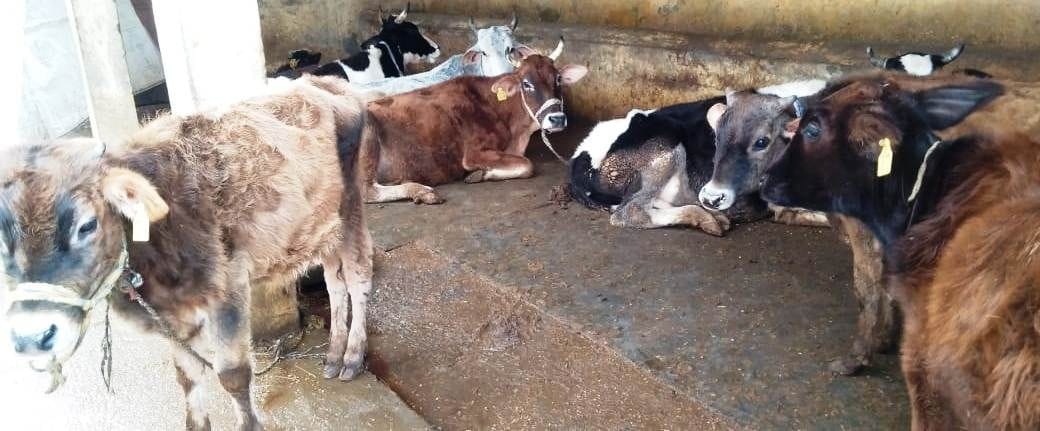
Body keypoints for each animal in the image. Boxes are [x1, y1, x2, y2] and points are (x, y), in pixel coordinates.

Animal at [1, 75, 372, 430]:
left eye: (87, 225)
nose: (32, 336)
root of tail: (319, 83)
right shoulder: (173, 318)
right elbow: (188, 379)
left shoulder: (228, 294)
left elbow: (233, 376)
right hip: (322, 229)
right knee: (334, 282)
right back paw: (334, 353)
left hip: (351, 210)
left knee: (358, 279)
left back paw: (352, 356)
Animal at [360, 39, 588, 204]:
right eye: (526, 84)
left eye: (558, 79)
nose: (557, 118)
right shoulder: (473, 153)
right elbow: (527, 165)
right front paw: (479, 174)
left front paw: (480, 174)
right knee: (367, 191)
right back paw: (422, 191)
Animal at [698, 85, 897, 375]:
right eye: (717, 138)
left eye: (762, 141)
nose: (712, 197)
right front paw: (883, 339)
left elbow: (867, 289)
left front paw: (856, 358)